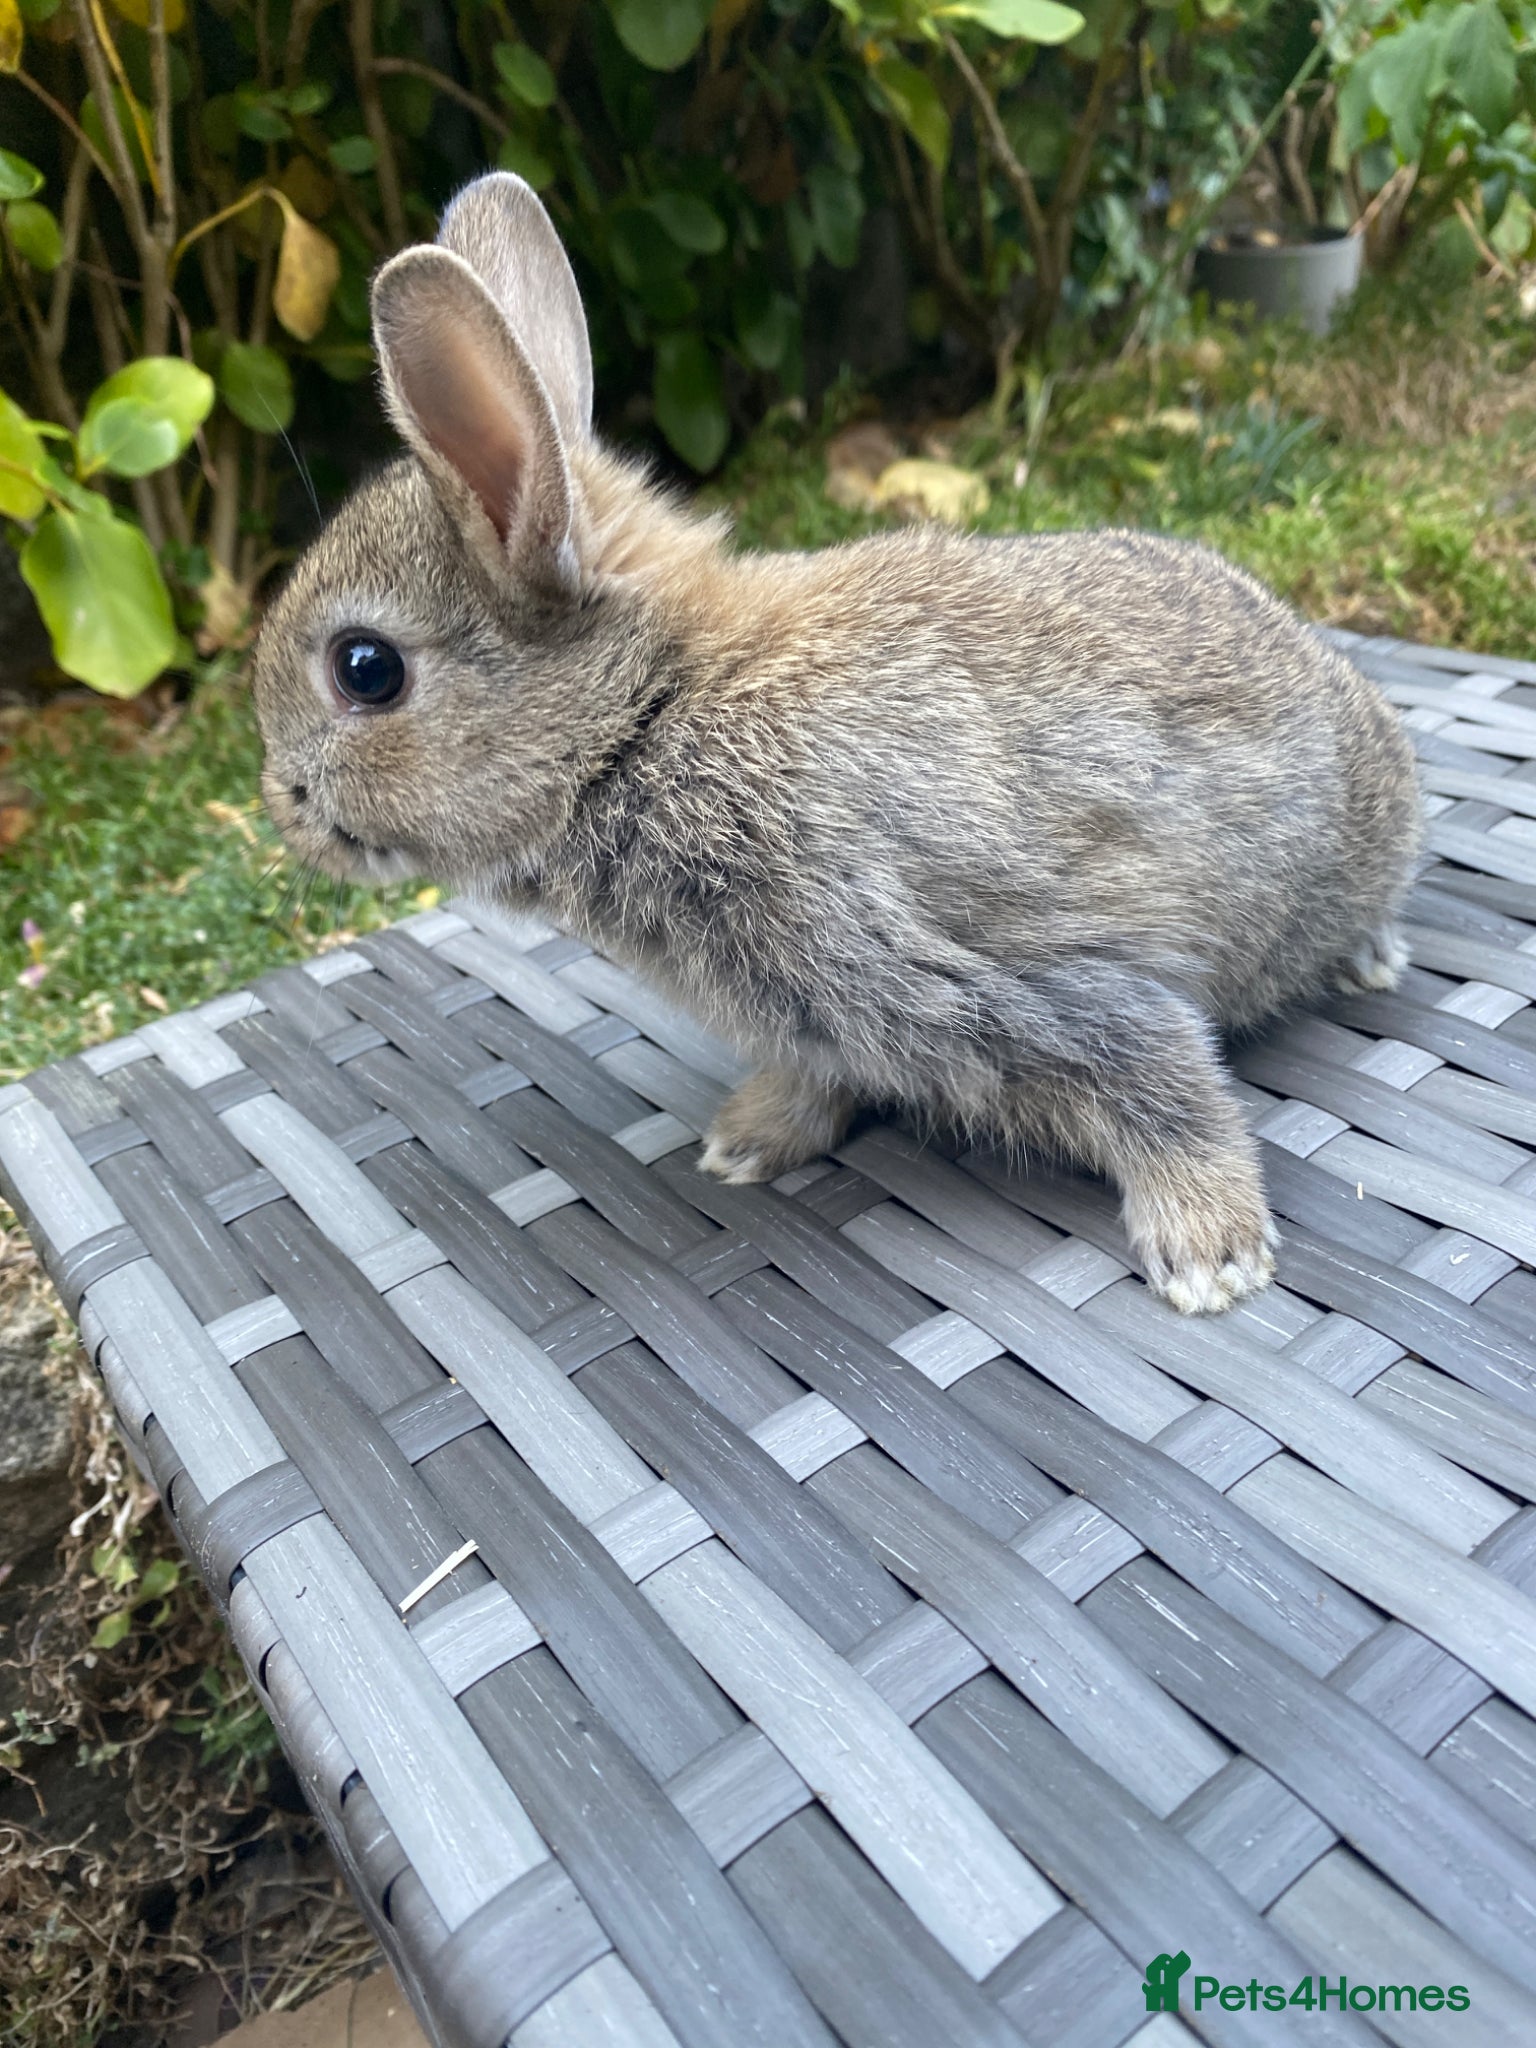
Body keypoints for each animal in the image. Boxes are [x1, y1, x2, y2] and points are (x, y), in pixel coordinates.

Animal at [251, 172, 1422, 1316]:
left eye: (365, 669)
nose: (282, 803)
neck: (649, 716)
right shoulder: (822, 1018)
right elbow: (821, 1080)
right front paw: (746, 1144)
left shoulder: (986, 968)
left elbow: (1162, 1078)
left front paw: (1212, 1259)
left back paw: (1368, 961)